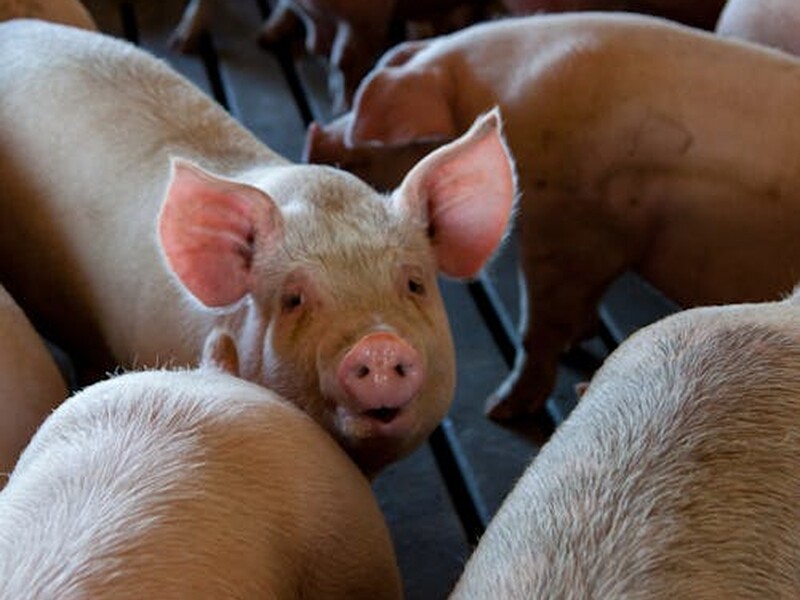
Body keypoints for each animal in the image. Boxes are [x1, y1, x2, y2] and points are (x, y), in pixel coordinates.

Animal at [304, 10, 800, 422]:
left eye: (363, 132)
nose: (315, 137)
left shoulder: (570, 230)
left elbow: (539, 327)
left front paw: (499, 411)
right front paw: (580, 337)